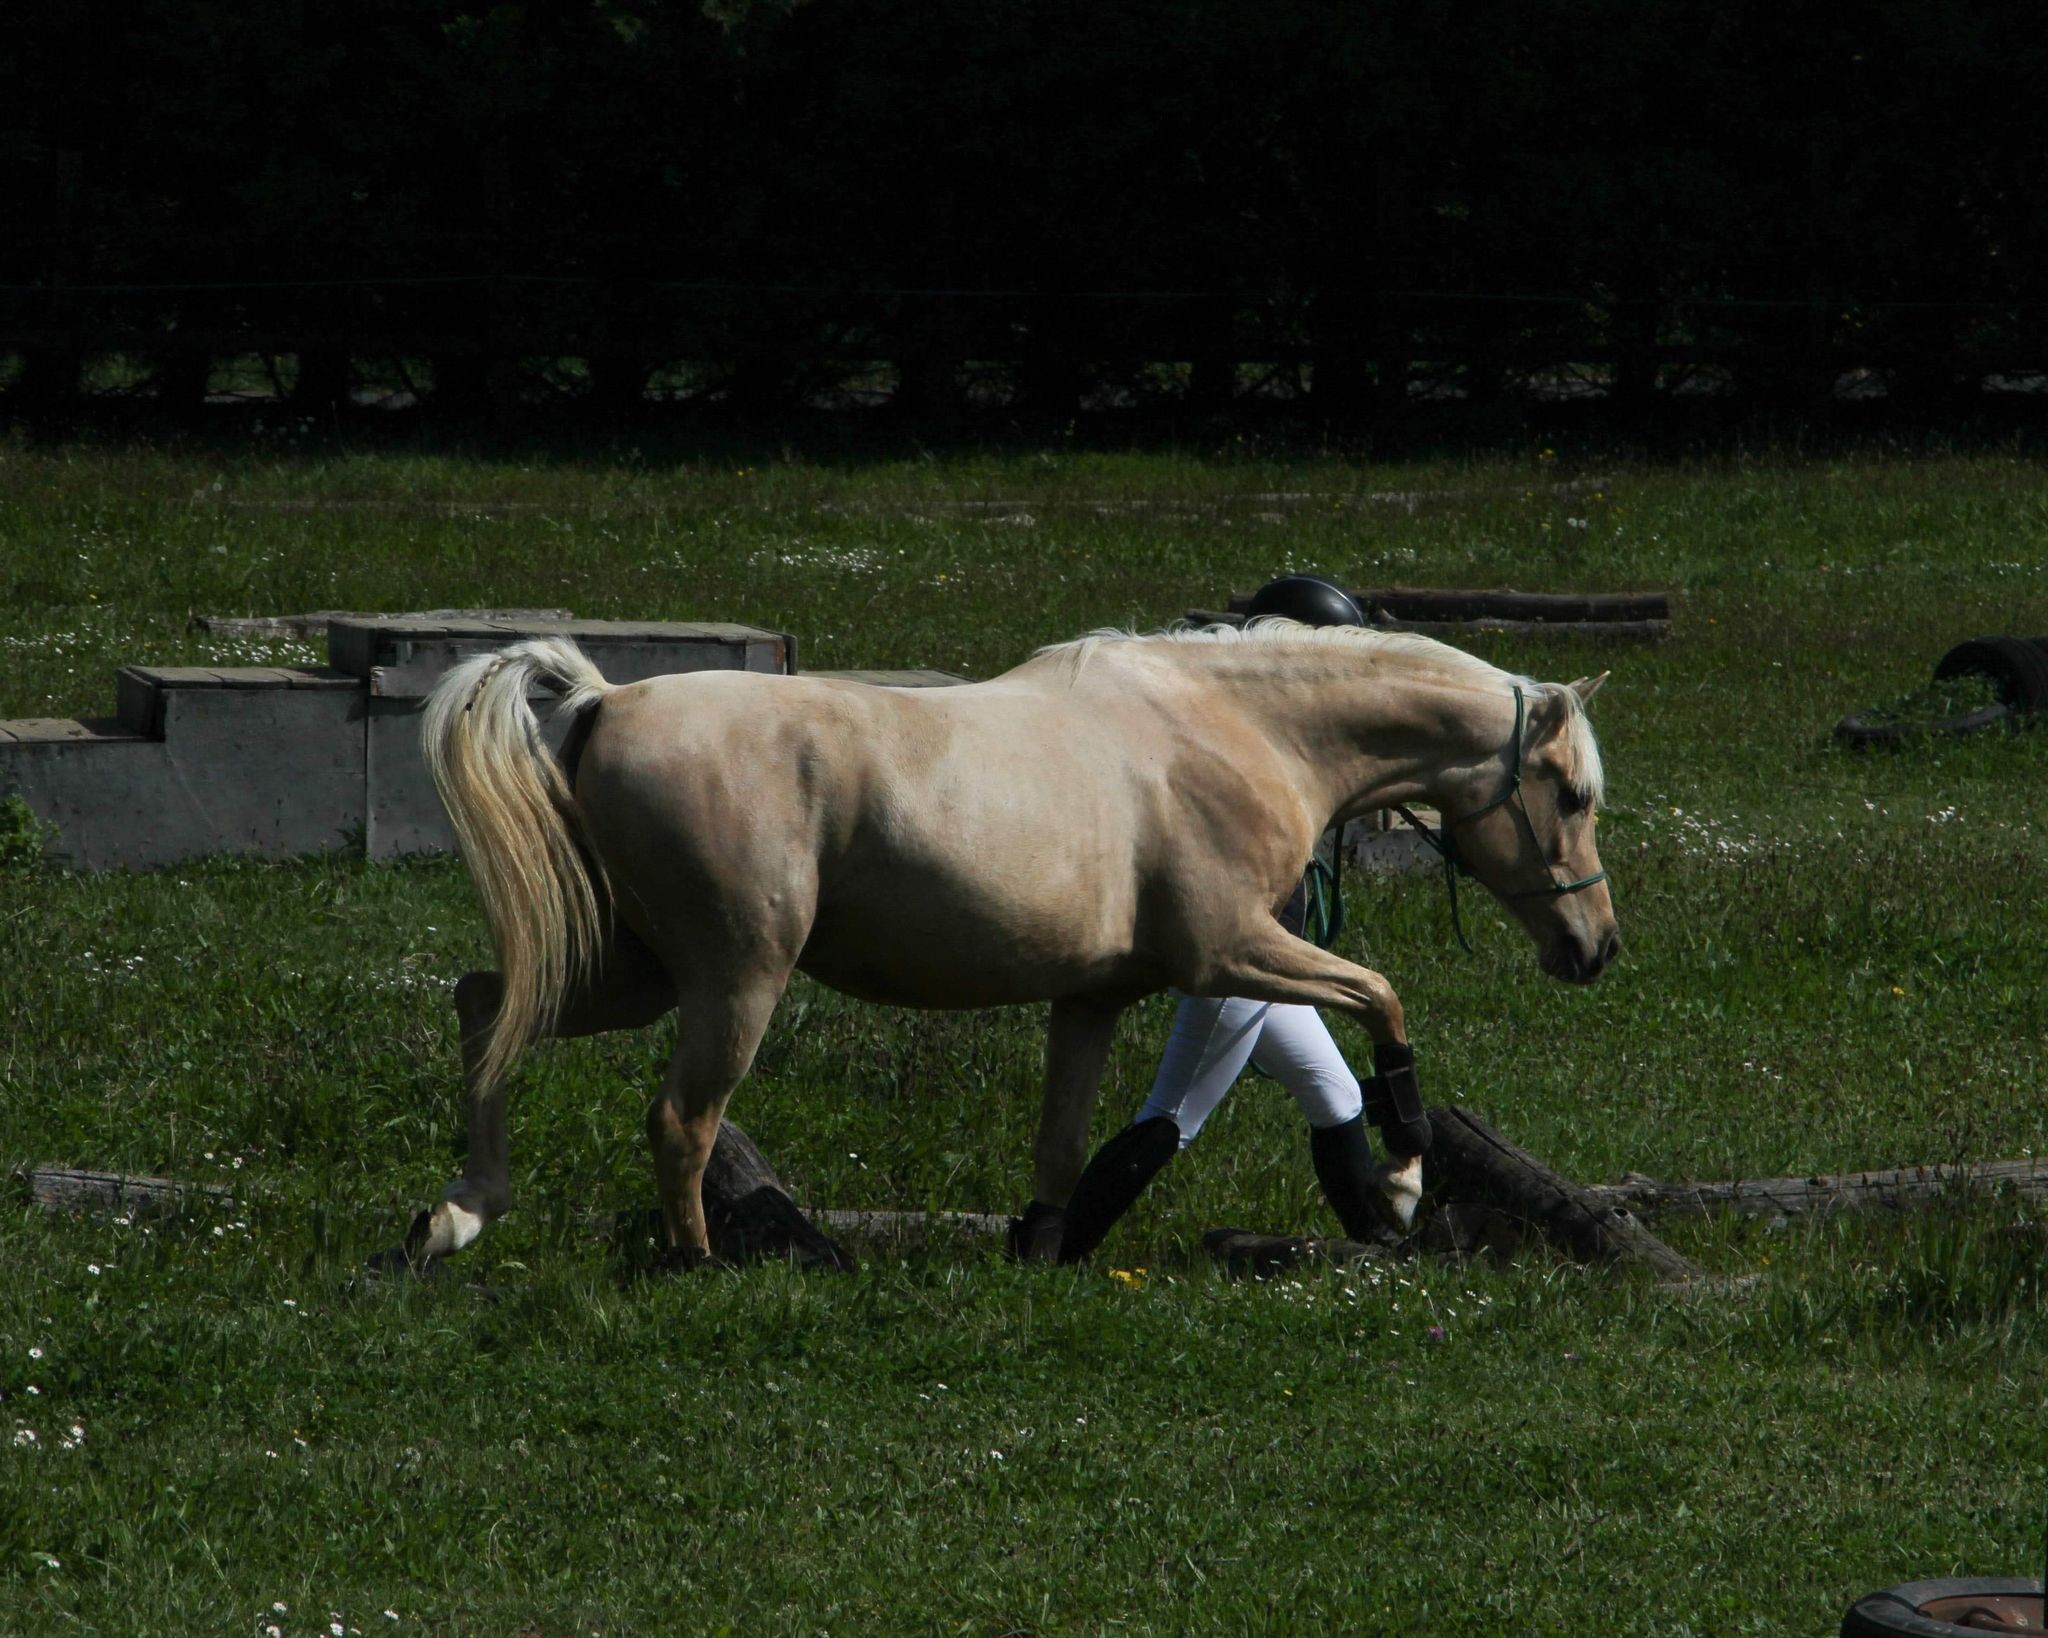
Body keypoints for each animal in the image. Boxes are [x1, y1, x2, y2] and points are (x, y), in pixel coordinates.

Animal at [399, 618, 1613, 1269]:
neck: (1238, 732)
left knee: (485, 1005)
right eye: (1571, 793)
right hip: (735, 976)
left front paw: (1040, 1253)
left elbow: (1067, 1144)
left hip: (644, 972)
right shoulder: (1229, 952)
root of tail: (605, 701)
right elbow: (1382, 998)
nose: (1592, 947)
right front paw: (1399, 1185)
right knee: (679, 1119)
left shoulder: (1100, 996)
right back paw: (692, 1264)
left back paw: (458, 1214)